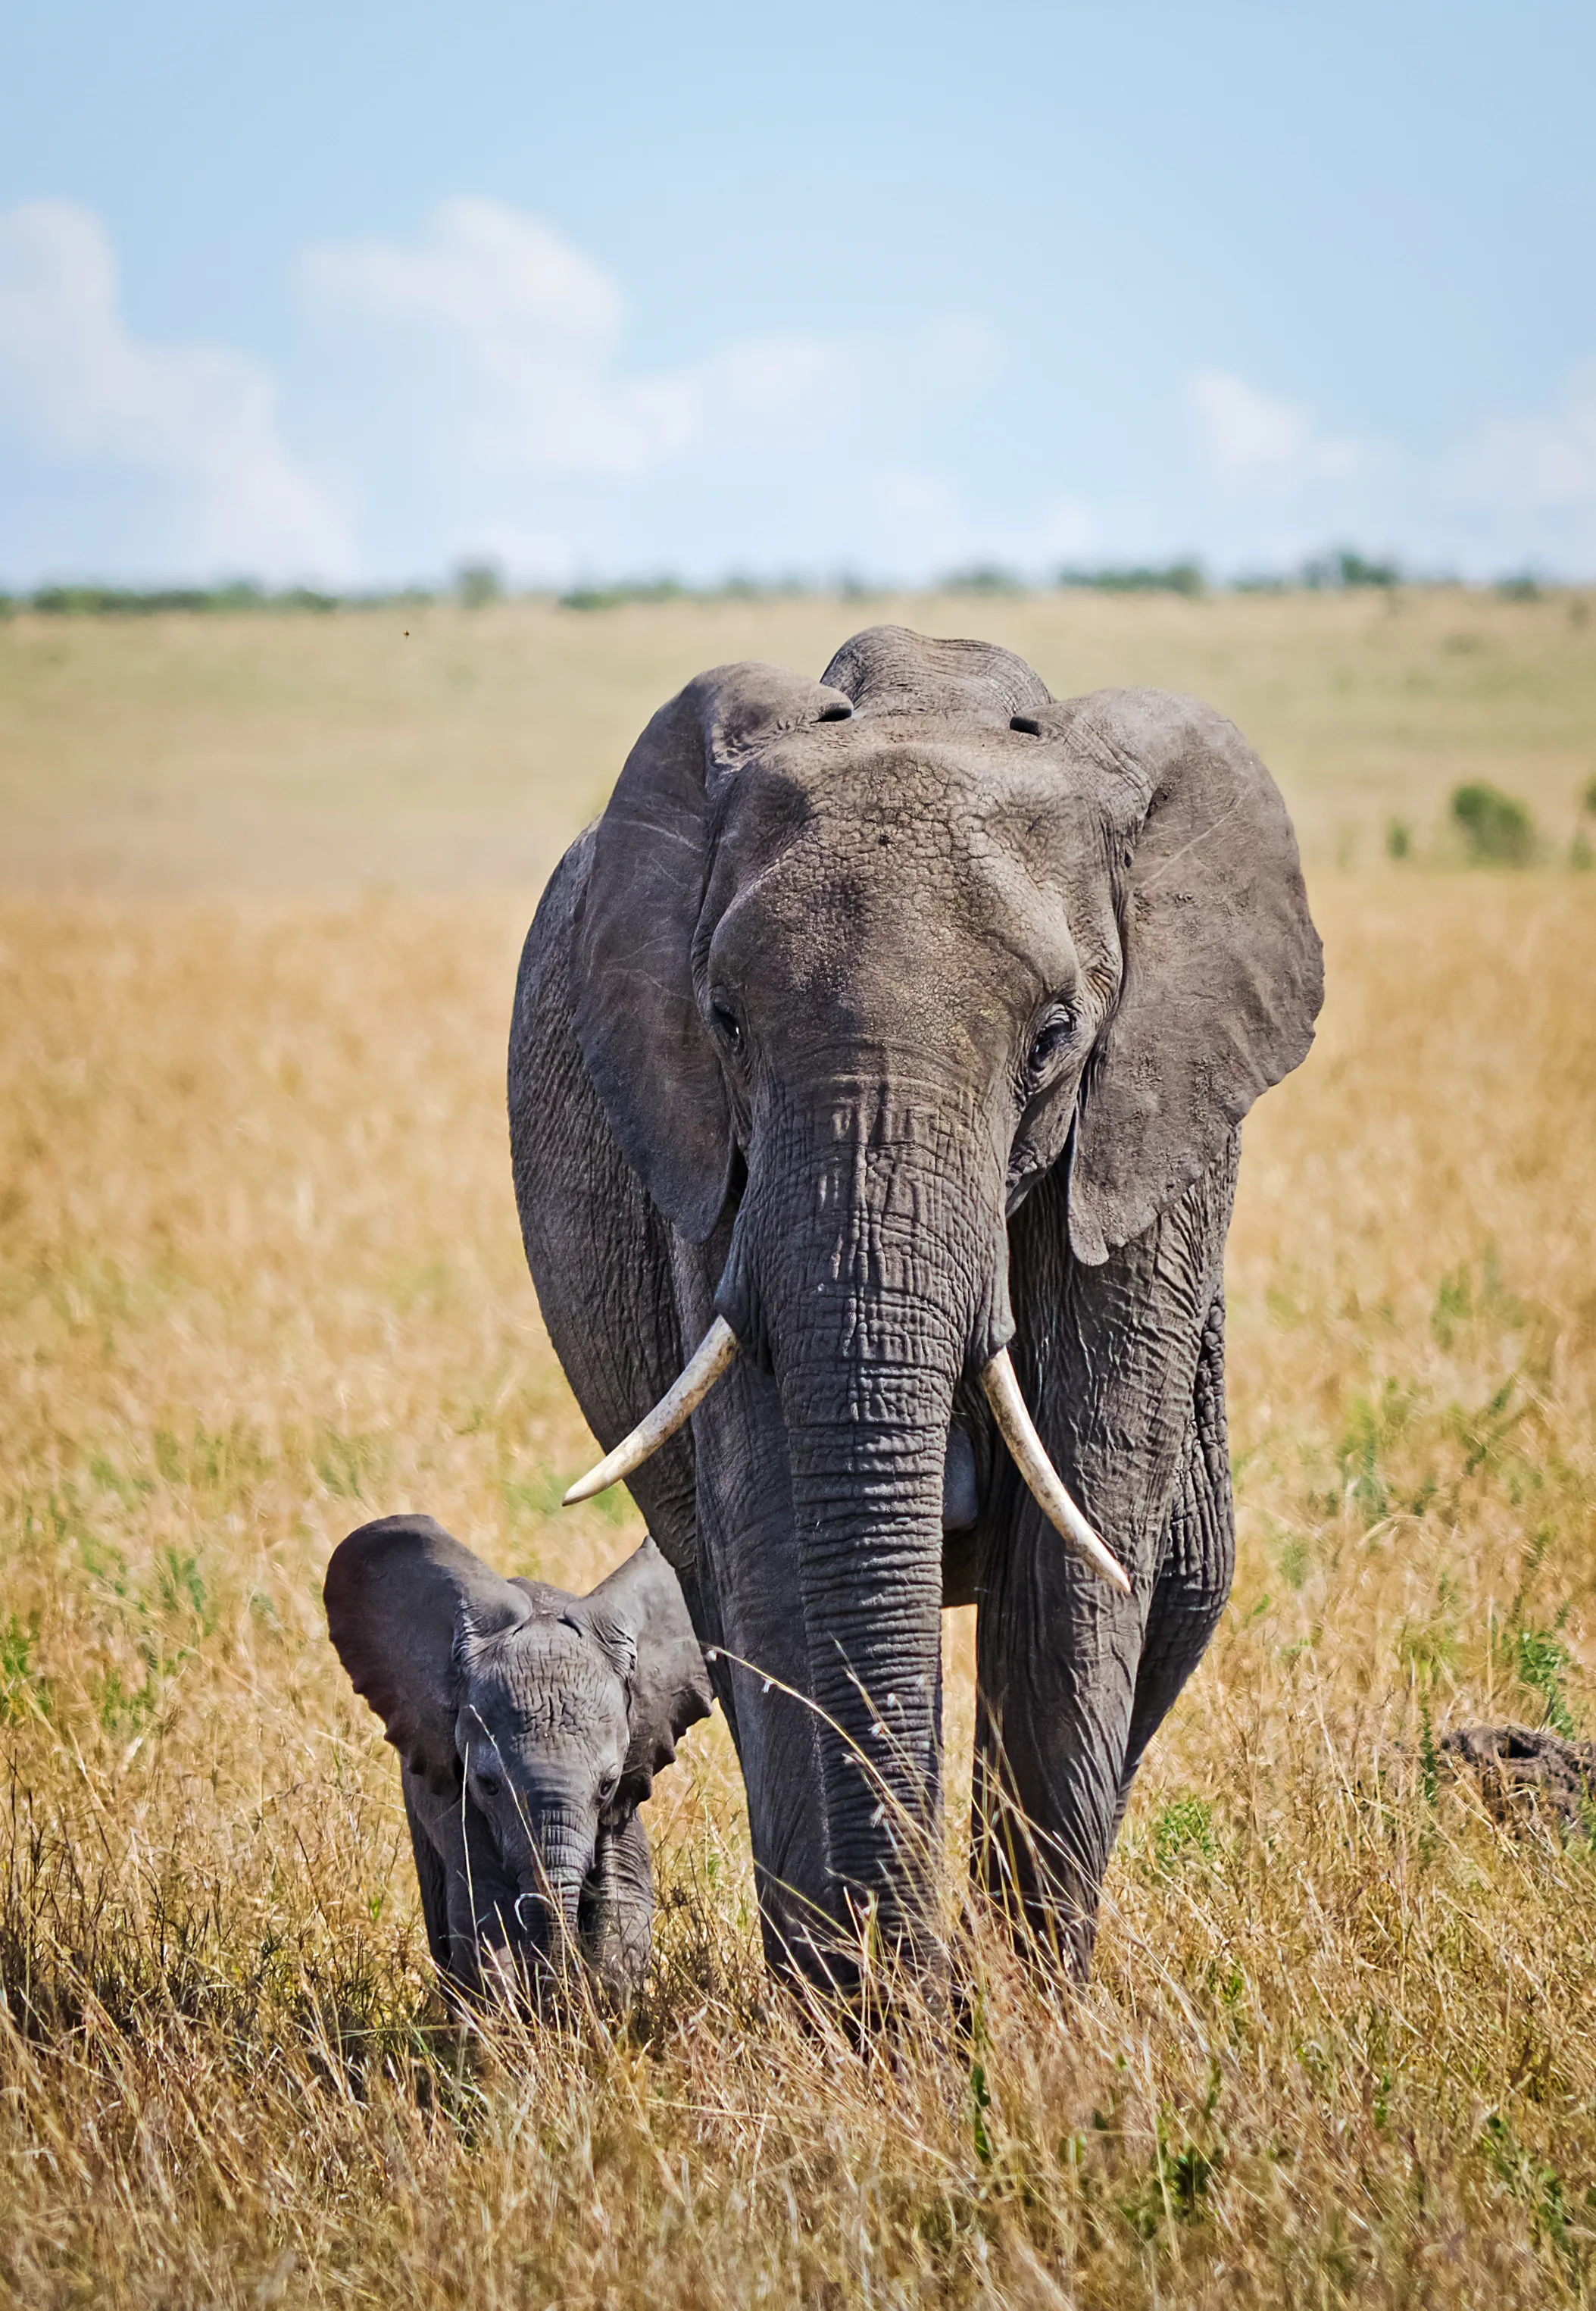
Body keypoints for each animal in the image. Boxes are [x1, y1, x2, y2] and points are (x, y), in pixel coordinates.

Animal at [324, 1517, 713, 2005]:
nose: (559, 1989)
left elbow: (626, 1892)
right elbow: (482, 1907)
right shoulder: (454, 1790)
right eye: (487, 1784)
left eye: (607, 1786)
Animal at [507, 624, 1322, 1993]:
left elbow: (1077, 1548)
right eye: (724, 1020)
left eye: (1053, 1036)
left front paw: (1025, 2014)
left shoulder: (1146, 1148)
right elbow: (777, 1546)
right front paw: (859, 2020)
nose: (924, 1984)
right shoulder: (710, 1171)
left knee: (1179, 1585)